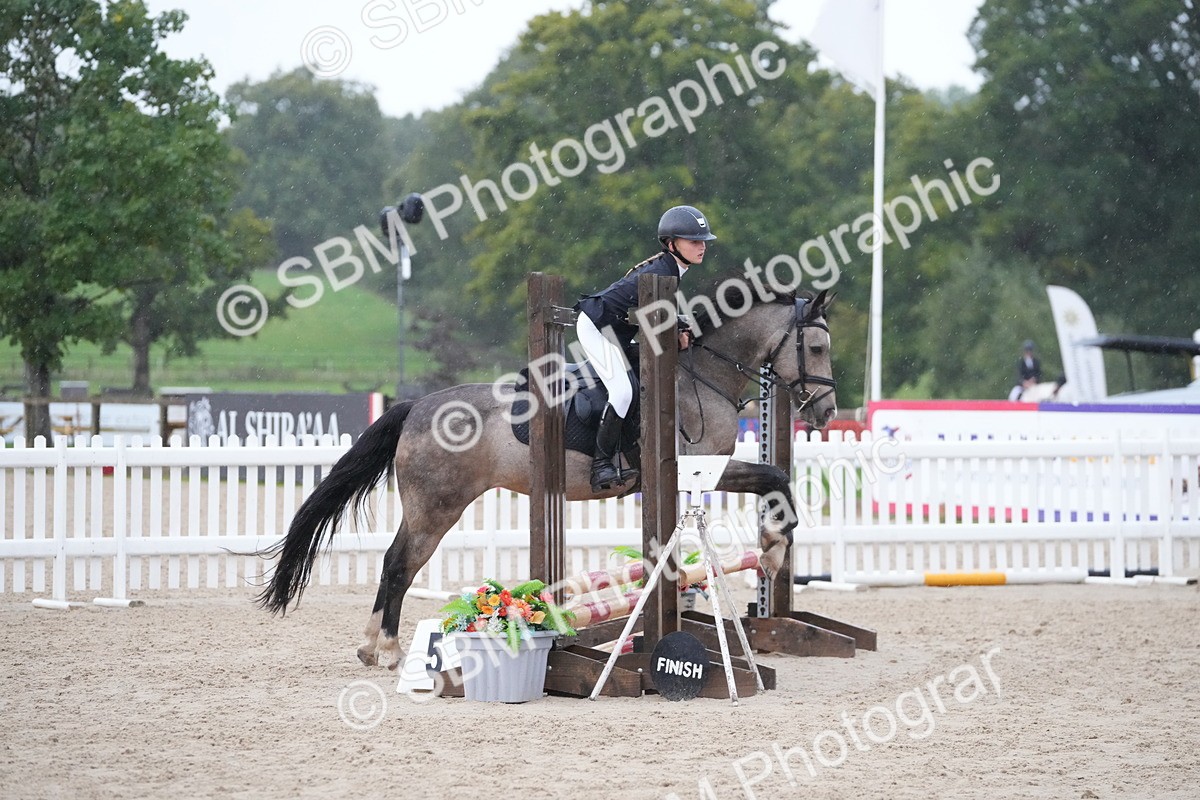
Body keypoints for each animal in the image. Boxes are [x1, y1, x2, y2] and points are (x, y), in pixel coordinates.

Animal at [256, 286, 837, 669]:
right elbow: (774, 477)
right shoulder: (697, 470)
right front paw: (772, 551)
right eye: (816, 347)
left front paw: (769, 556)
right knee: (400, 565)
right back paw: (388, 649)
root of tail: (417, 405)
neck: (702, 375)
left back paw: (371, 645)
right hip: (437, 507)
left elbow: (773, 478)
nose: (827, 411)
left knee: (391, 563)